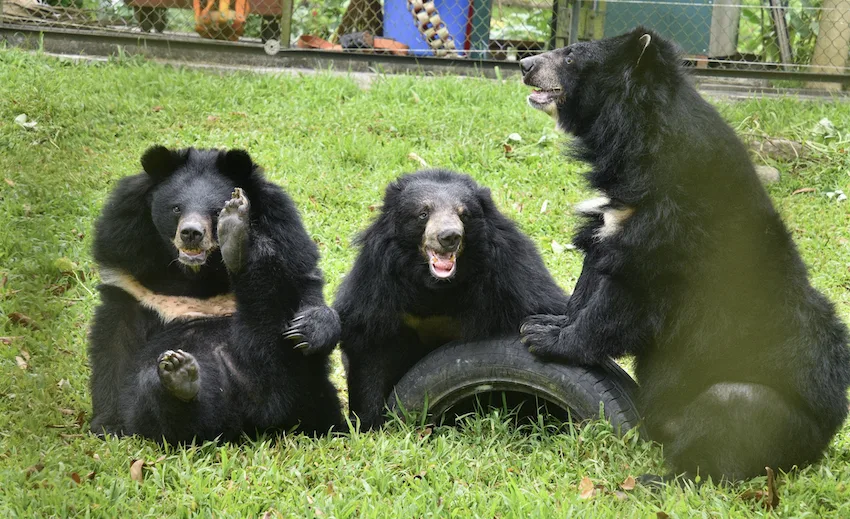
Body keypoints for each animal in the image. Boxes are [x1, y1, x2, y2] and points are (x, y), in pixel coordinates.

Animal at [88, 146, 343, 444]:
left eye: (214, 210)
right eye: (176, 208)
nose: (191, 233)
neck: (197, 272)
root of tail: (246, 424)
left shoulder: (286, 232)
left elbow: (303, 282)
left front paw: (310, 329)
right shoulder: (127, 267)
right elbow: (114, 344)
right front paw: (108, 425)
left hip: (299, 384)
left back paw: (238, 237)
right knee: (161, 405)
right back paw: (179, 377)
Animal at [334, 169, 570, 429]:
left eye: (463, 214)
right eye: (423, 213)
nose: (449, 236)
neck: (438, 287)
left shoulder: (512, 276)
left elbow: (542, 307)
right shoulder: (376, 283)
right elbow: (369, 343)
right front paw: (368, 422)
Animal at [517, 27, 850, 482]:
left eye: (571, 56)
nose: (525, 64)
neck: (641, 140)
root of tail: (825, 439)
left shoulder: (670, 232)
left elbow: (623, 300)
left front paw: (546, 338)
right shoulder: (614, 218)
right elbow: (591, 277)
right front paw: (547, 320)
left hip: (762, 409)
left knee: (730, 415)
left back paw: (661, 479)